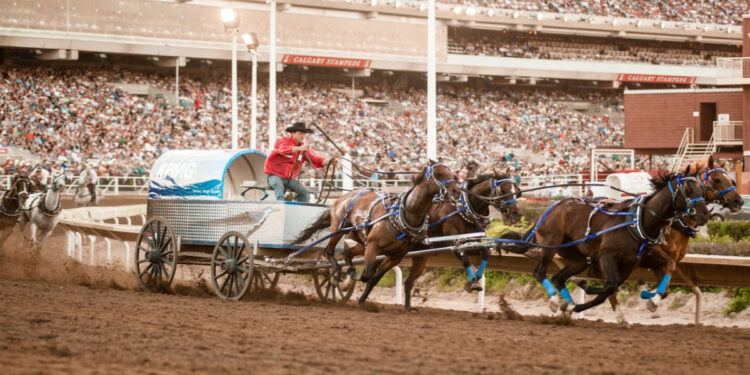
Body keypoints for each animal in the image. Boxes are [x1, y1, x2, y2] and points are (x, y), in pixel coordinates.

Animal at [296, 163, 462, 306]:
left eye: (453, 174)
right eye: (439, 174)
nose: (456, 191)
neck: (402, 215)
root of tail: (341, 198)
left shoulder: (396, 256)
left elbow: (374, 278)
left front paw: (362, 300)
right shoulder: (373, 246)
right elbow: (366, 274)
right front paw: (347, 283)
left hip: (360, 240)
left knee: (347, 253)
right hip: (339, 229)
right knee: (329, 252)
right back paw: (337, 275)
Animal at [406, 170, 524, 312]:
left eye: (516, 190)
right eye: (502, 190)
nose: (517, 213)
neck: (463, 209)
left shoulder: (473, 241)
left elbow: (486, 252)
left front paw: (474, 280)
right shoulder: (455, 242)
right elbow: (465, 259)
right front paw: (473, 283)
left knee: (409, 280)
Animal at [502, 167, 708, 314]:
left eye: (701, 189)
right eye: (688, 189)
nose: (706, 214)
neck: (638, 222)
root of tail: (552, 207)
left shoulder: (631, 264)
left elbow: (612, 289)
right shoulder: (607, 257)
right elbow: (609, 286)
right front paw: (584, 287)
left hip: (577, 259)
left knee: (558, 278)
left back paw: (568, 303)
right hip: (550, 244)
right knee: (539, 272)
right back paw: (554, 300)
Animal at [608, 157, 744, 324]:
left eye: (731, 180)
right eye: (717, 179)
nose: (738, 201)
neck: (676, 224)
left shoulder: (666, 262)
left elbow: (665, 287)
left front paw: (651, 296)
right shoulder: (653, 254)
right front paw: (651, 299)